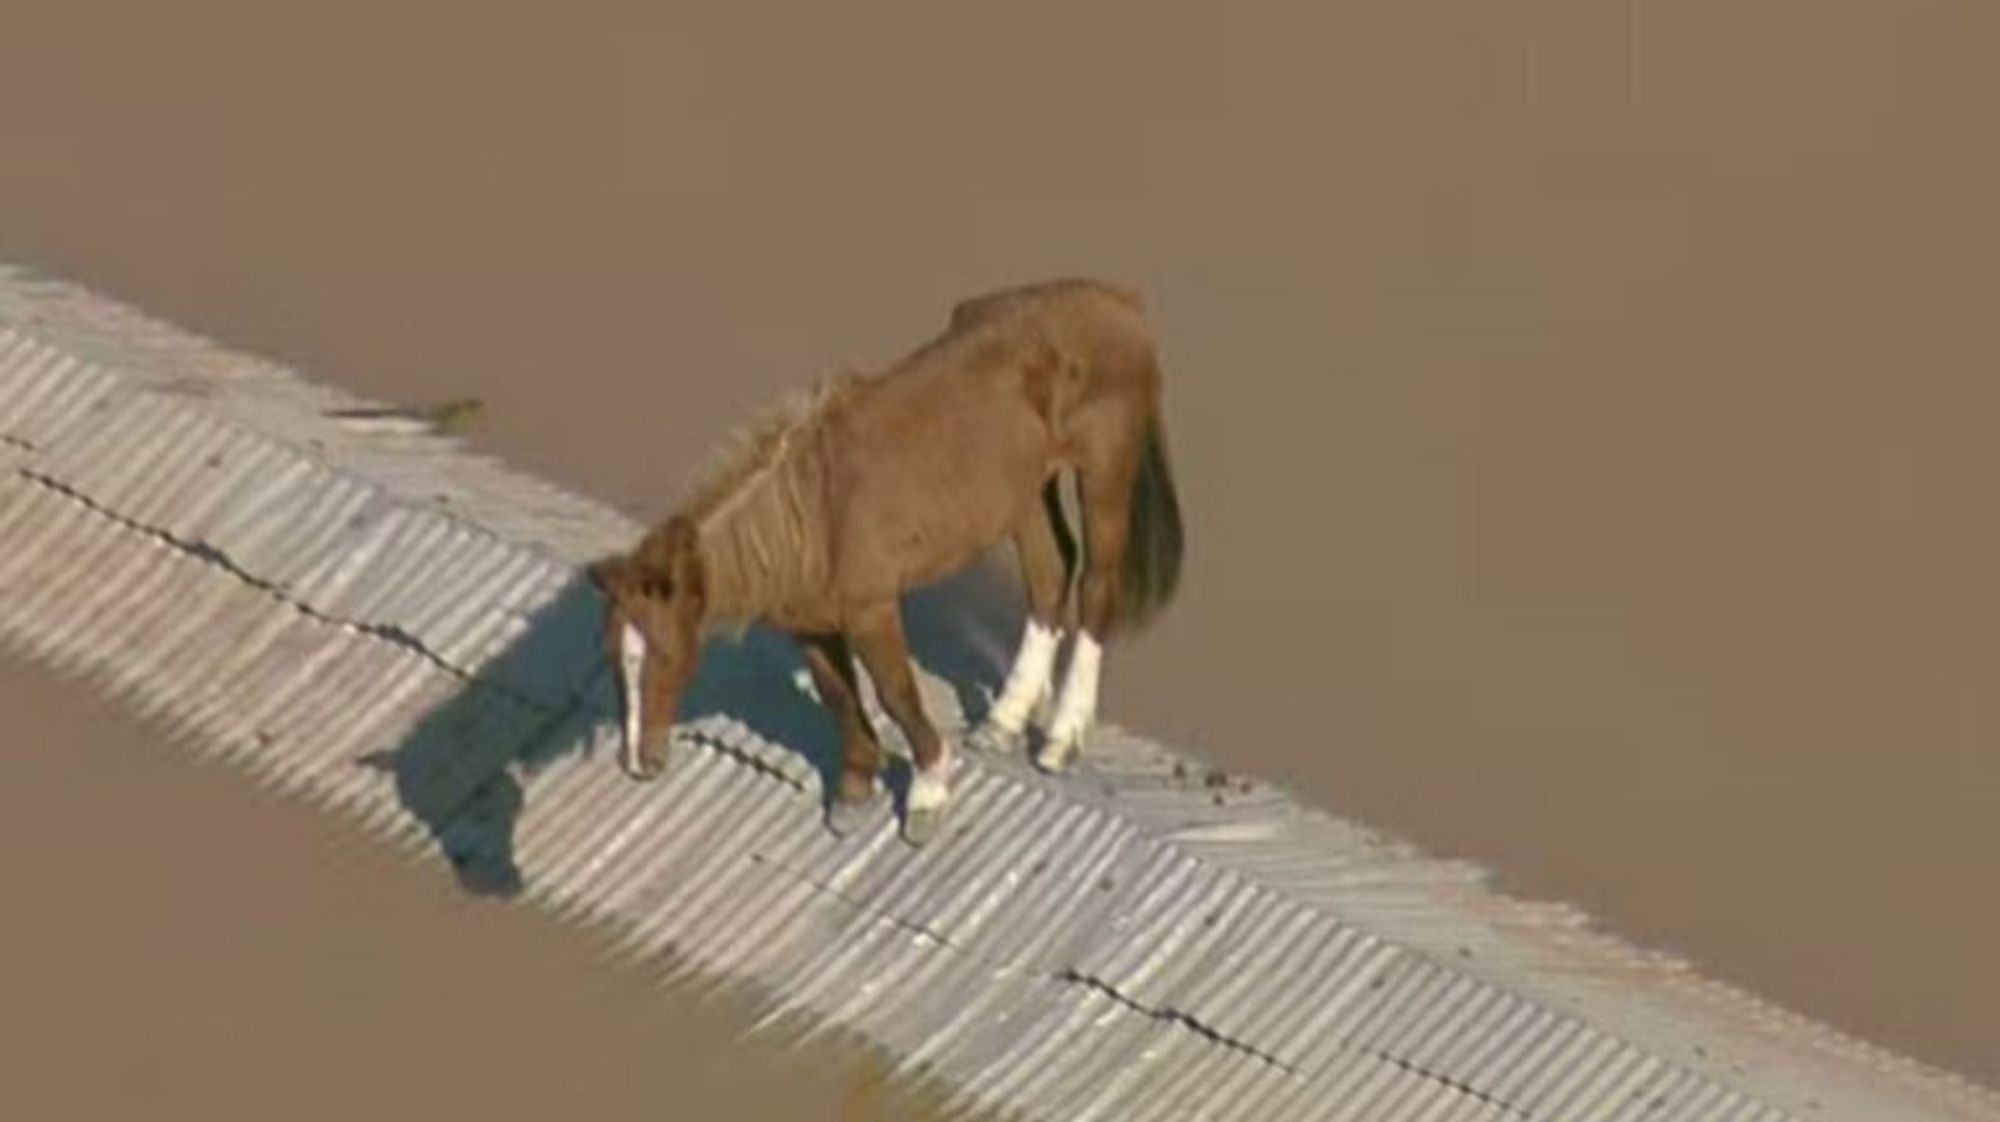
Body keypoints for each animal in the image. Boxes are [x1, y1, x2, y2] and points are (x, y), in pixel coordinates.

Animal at [588, 276, 1184, 844]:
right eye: (613, 658)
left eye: (666, 655)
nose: (637, 763)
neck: (811, 518)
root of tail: (1119, 300)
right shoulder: (810, 625)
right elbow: (838, 696)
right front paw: (854, 792)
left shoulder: (871, 611)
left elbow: (895, 693)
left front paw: (927, 794)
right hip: (1026, 494)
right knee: (1049, 577)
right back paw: (1004, 721)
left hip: (1104, 475)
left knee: (1096, 589)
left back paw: (1060, 740)